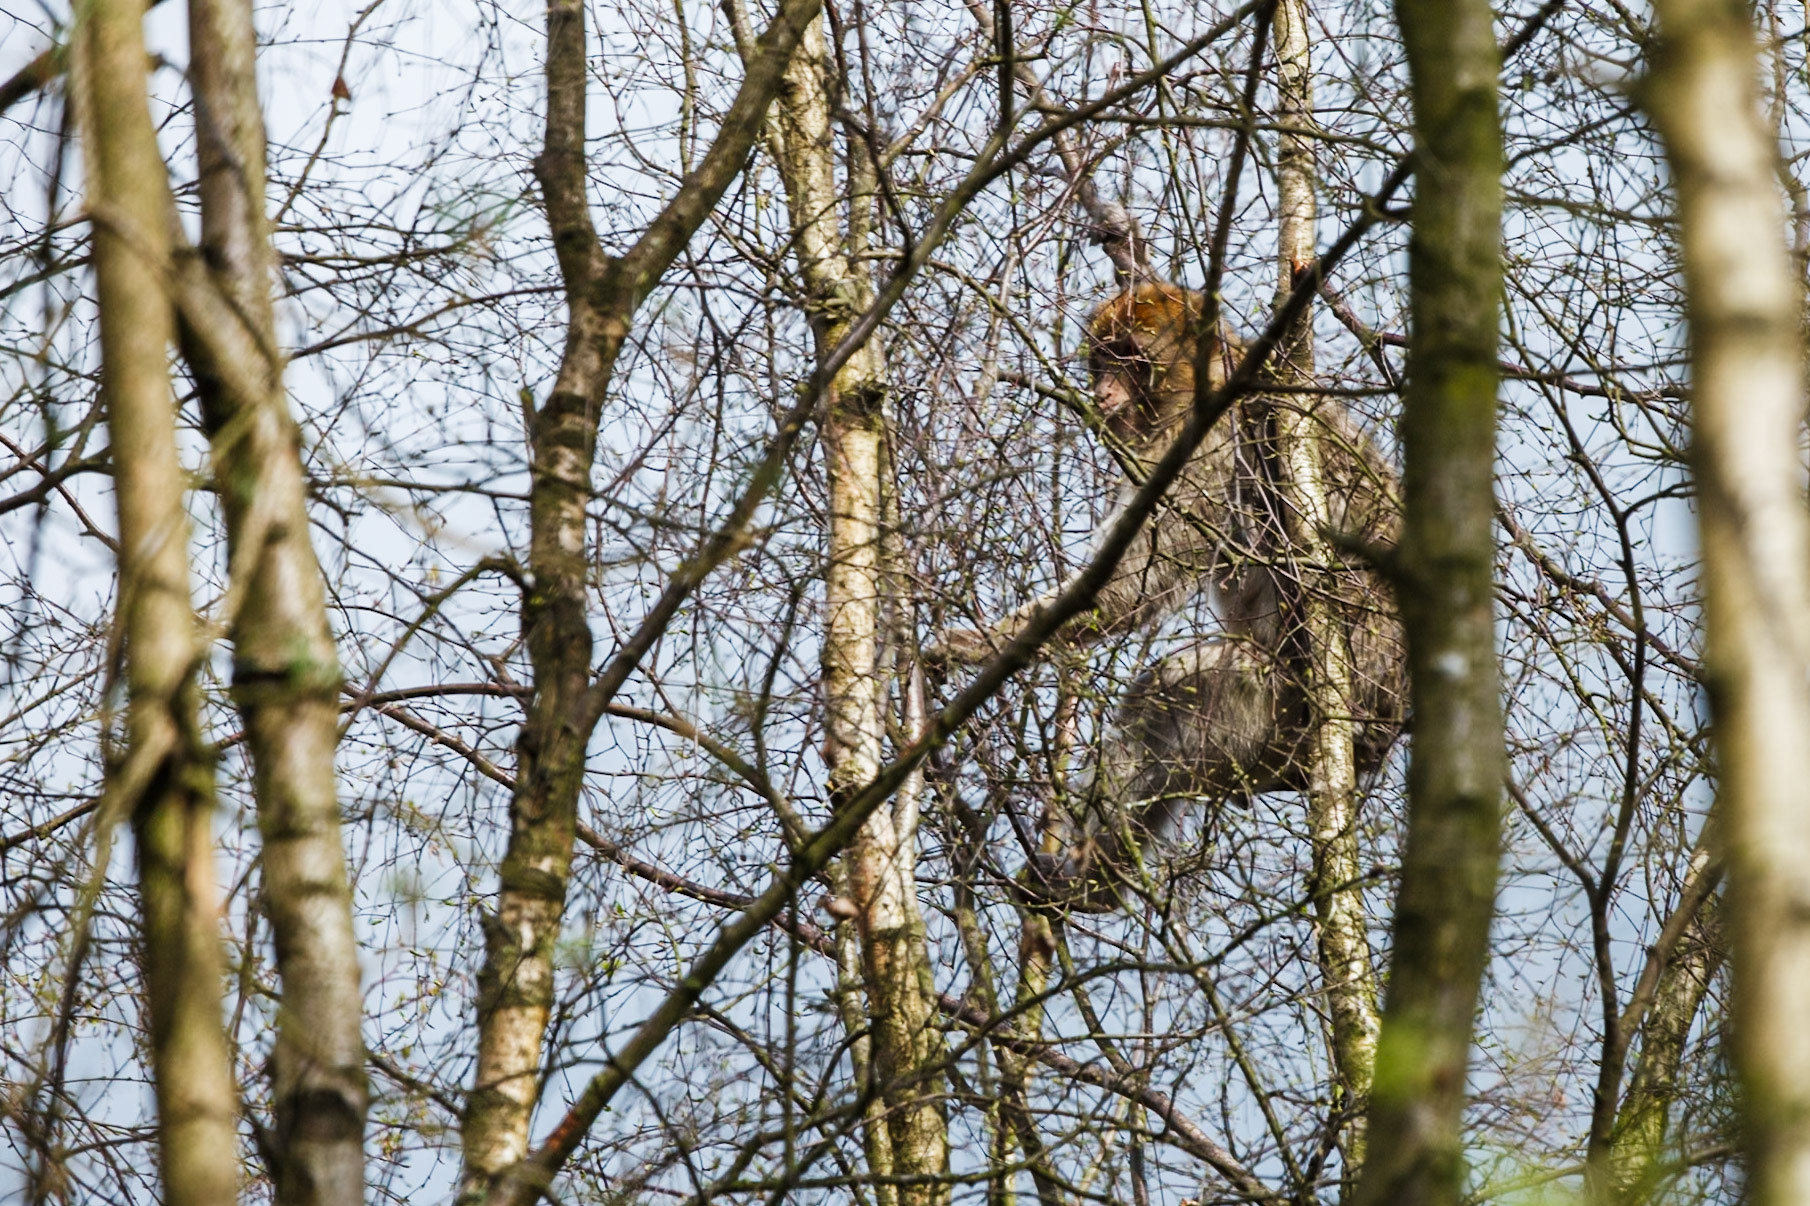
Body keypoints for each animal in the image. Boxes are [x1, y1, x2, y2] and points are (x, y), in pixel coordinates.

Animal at [935, 282, 1405, 910]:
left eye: (1133, 359)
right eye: (1103, 359)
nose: (1103, 391)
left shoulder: (1209, 438)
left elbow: (1124, 593)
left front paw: (971, 644)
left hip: (1297, 701)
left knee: (1173, 687)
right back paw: (1098, 882)